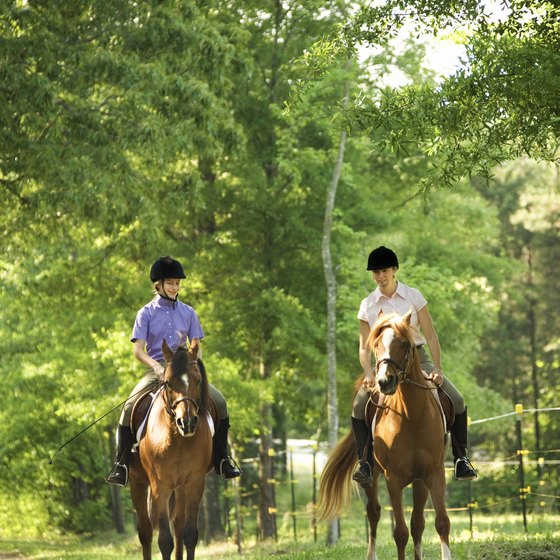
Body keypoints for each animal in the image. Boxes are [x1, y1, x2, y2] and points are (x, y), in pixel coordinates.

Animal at [129, 340, 214, 560]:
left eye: (198, 379)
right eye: (167, 382)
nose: (187, 422)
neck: (177, 439)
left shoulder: (194, 483)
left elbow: (189, 535)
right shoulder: (160, 485)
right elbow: (164, 541)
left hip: (180, 487)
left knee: (178, 525)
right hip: (137, 483)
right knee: (146, 531)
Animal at [318, 310, 452, 560]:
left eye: (404, 343)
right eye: (376, 344)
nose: (383, 382)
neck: (411, 416)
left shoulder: (433, 473)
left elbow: (441, 523)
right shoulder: (393, 479)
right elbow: (400, 532)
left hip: (419, 481)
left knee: (417, 522)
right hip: (372, 477)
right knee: (374, 513)